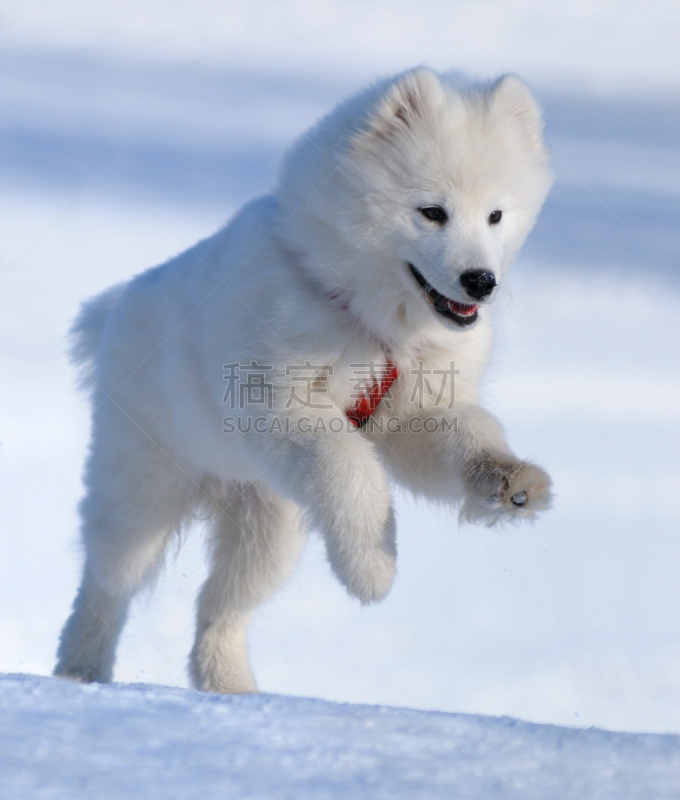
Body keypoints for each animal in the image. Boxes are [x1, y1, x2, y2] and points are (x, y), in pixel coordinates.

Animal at [53, 69, 552, 692]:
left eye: (495, 216)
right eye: (432, 211)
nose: (481, 281)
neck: (370, 320)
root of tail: (116, 308)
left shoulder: (414, 410)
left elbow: (463, 439)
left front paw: (513, 483)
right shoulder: (278, 402)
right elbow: (351, 467)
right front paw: (373, 571)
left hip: (268, 521)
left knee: (221, 605)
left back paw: (232, 690)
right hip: (144, 485)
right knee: (108, 580)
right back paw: (80, 672)